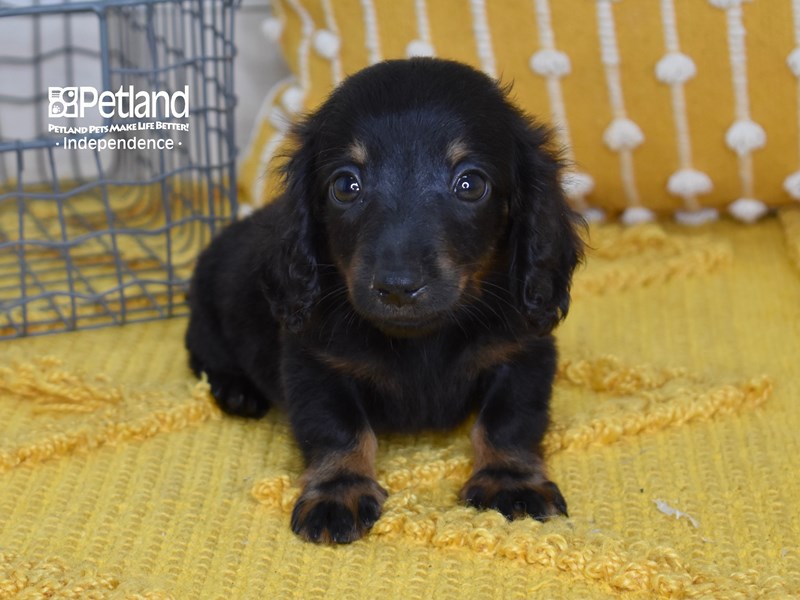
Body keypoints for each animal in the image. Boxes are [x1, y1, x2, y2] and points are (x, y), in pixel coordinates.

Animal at [188, 59, 588, 544]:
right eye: (346, 185)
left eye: (470, 184)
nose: (398, 286)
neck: (423, 340)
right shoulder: (315, 363)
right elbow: (340, 428)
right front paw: (339, 489)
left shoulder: (523, 353)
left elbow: (508, 420)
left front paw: (510, 479)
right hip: (206, 320)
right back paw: (236, 391)